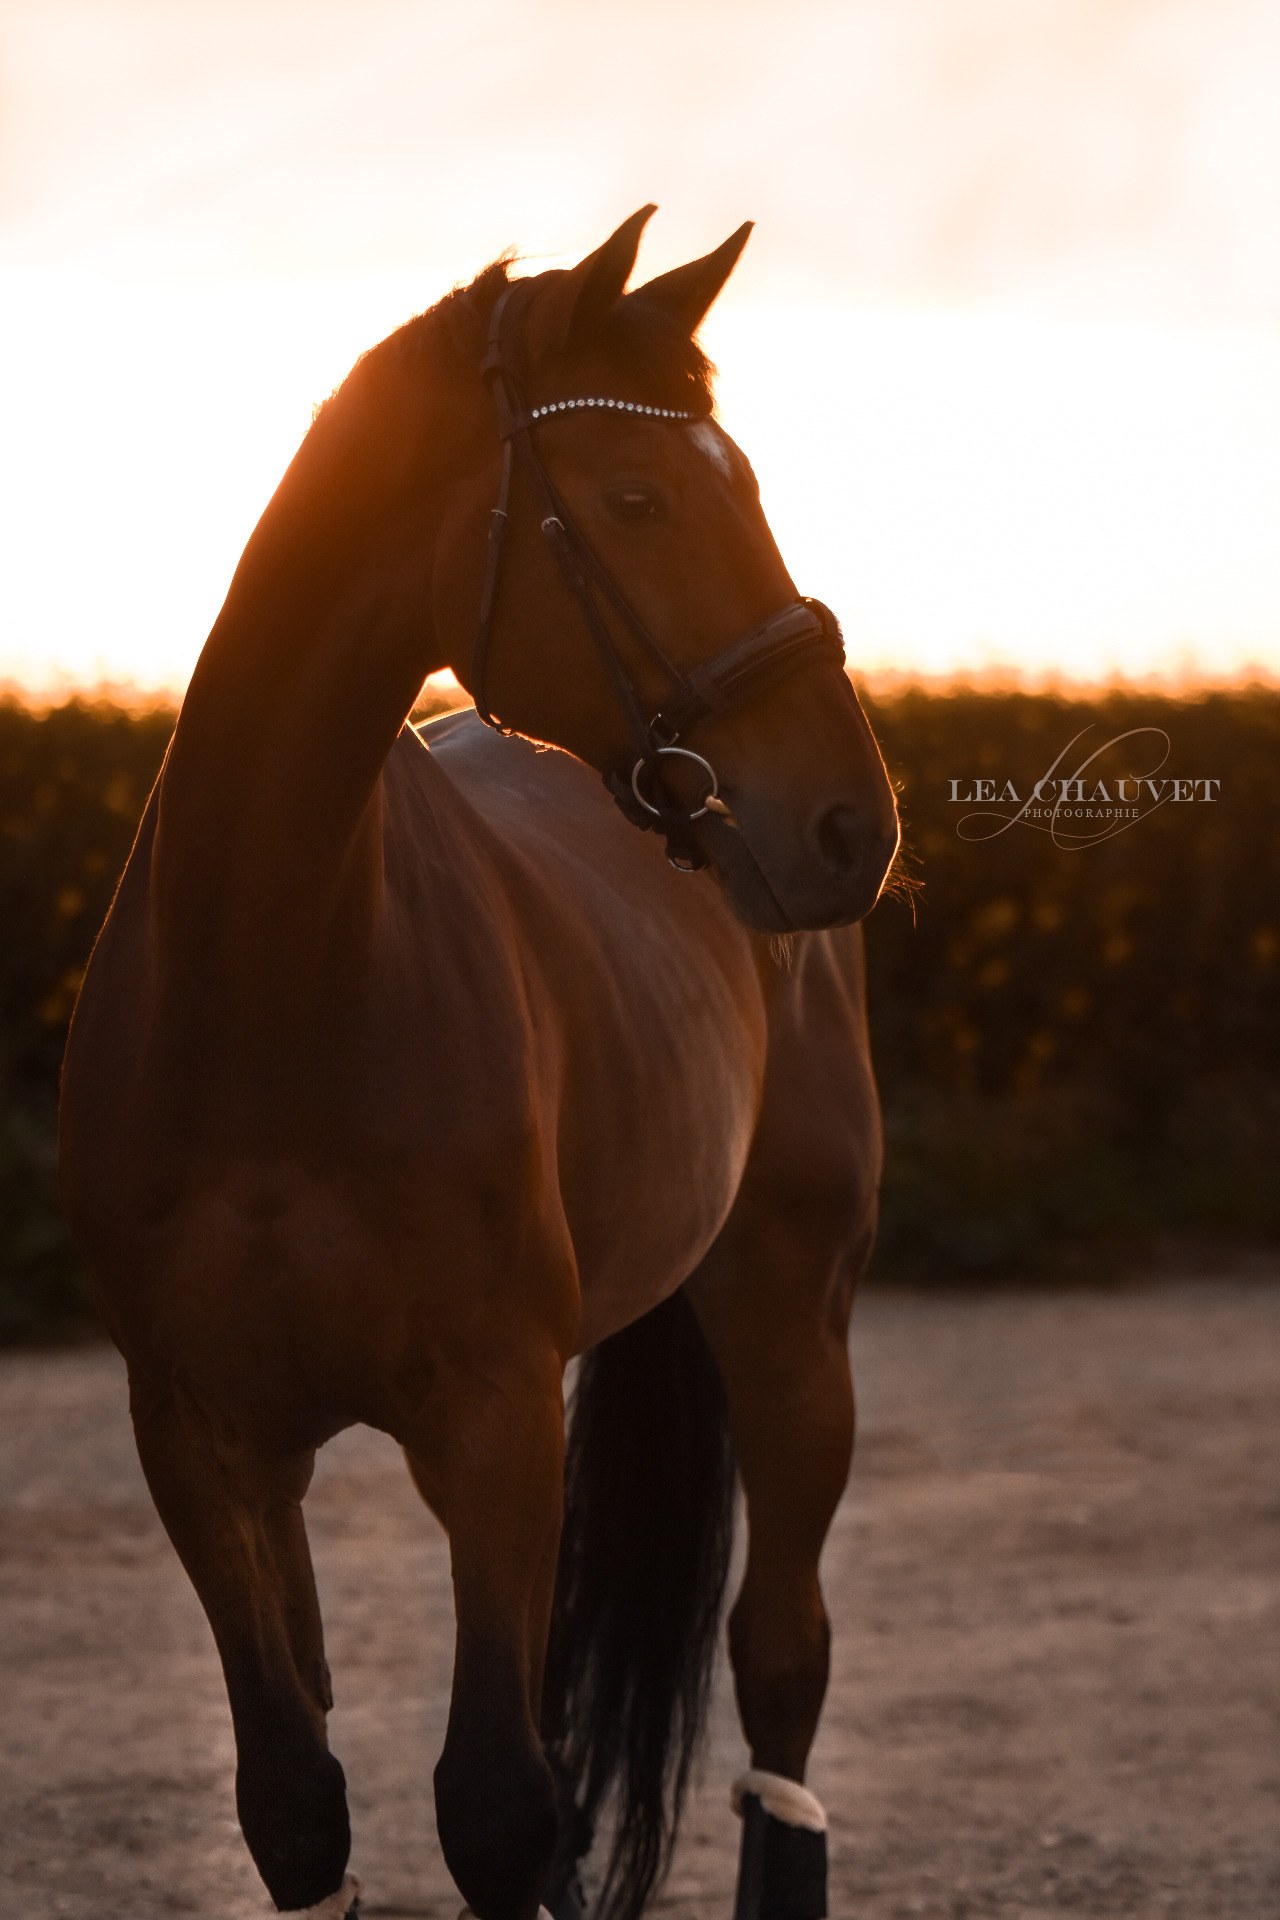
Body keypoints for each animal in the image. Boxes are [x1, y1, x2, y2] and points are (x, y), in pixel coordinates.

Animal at [58, 206, 899, 1920]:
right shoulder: (205, 1440)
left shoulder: (492, 1418)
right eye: (636, 496)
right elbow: (297, 1800)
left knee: (782, 1662)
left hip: (793, 1310)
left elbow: (501, 1805)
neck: (276, 982)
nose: (851, 821)